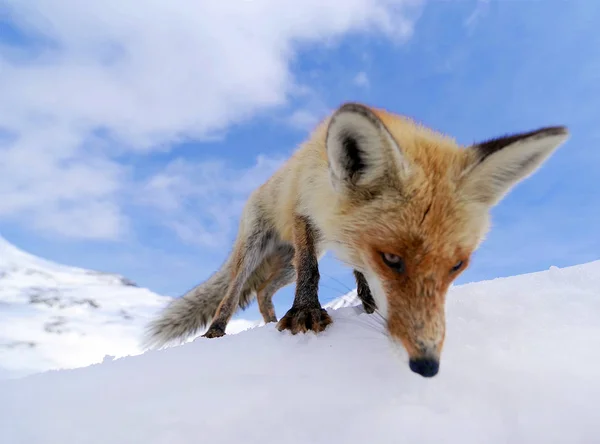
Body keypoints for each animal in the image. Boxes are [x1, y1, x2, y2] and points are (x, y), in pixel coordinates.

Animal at [143, 102, 568, 376]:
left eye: (457, 265)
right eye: (392, 259)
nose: (427, 365)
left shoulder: (345, 239)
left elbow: (358, 275)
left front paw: (366, 303)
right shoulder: (304, 213)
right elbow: (313, 272)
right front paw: (306, 313)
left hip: (284, 263)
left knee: (263, 291)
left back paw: (268, 319)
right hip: (258, 247)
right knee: (233, 292)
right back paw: (217, 330)